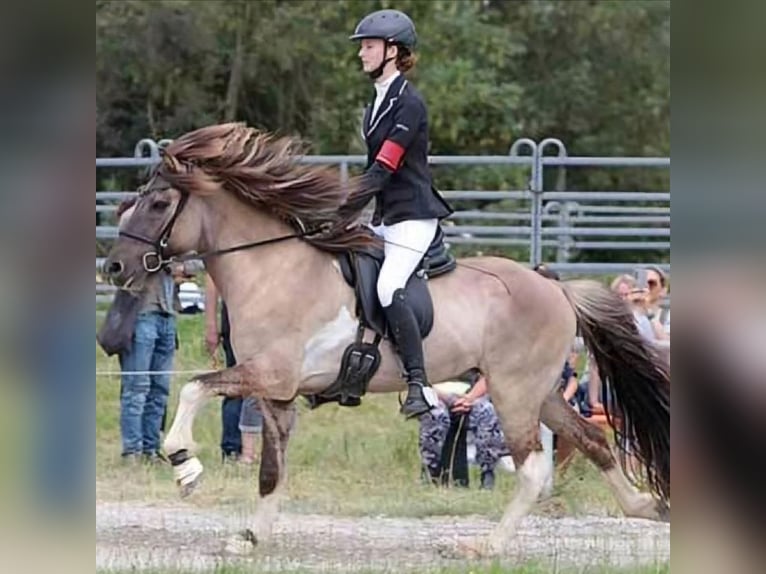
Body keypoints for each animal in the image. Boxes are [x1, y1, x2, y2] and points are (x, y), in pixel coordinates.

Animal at [103, 122, 672, 560]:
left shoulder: (270, 375)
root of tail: (556, 286)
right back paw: (647, 506)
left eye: (158, 203)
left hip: (513, 392)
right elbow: (270, 470)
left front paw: (185, 465)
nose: (115, 269)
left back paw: (484, 547)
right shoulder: (275, 394)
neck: (271, 267)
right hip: (540, 392)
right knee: (592, 439)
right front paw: (248, 538)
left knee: (533, 469)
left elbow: (194, 387)